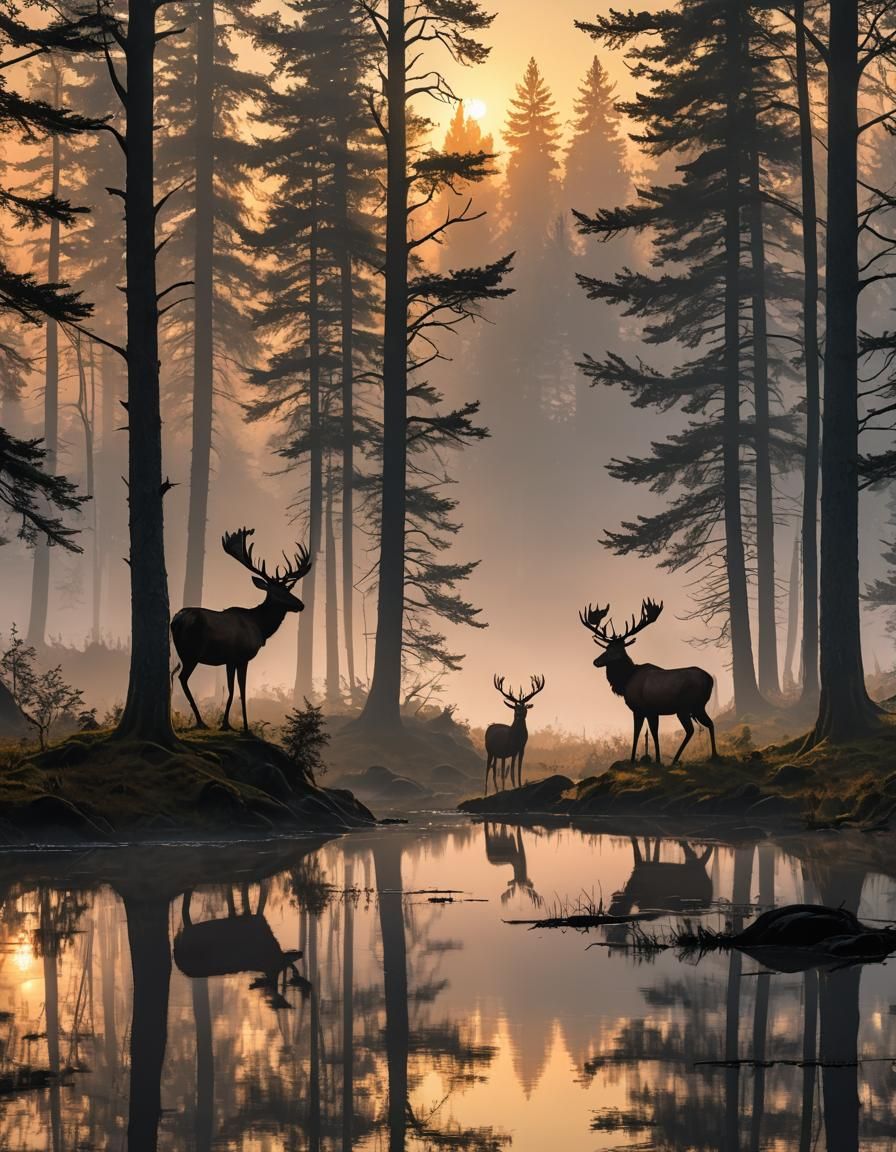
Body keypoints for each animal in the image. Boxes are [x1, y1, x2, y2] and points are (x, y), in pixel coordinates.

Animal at [171, 527, 312, 732]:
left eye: (289, 589)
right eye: (277, 592)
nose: (301, 604)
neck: (260, 627)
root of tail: (176, 620)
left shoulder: (230, 660)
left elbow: (233, 690)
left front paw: (229, 724)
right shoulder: (241, 656)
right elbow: (240, 691)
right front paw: (241, 726)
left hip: (183, 653)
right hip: (192, 653)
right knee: (182, 678)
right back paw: (200, 721)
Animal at [578, 598, 718, 765]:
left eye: (617, 650)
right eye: (606, 648)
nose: (596, 661)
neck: (625, 681)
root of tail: (710, 680)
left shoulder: (640, 708)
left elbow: (639, 733)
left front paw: (635, 760)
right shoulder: (653, 711)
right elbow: (653, 733)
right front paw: (657, 759)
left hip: (685, 706)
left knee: (691, 729)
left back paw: (675, 759)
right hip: (698, 706)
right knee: (710, 723)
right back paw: (714, 756)